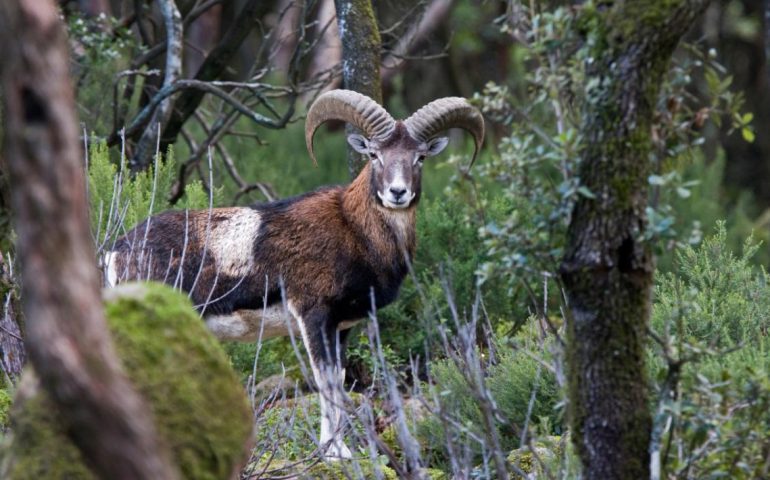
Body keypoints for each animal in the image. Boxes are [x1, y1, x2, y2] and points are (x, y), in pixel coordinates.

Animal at [105, 88, 484, 460]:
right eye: (375, 154)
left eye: (419, 157)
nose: (397, 193)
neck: (357, 232)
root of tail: (117, 251)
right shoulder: (313, 316)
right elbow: (324, 379)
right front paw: (334, 453)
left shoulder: (341, 328)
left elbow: (338, 378)